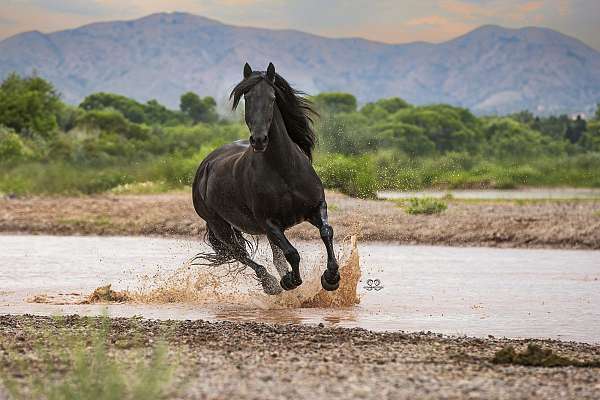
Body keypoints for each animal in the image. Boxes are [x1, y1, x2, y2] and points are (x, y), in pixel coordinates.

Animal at [195, 61, 340, 294]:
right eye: (247, 97)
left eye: (272, 97)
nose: (259, 140)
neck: (284, 171)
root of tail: (206, 164)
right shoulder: (270, 223)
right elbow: (292, 253)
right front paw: (290, 281)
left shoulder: (316, 207)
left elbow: (326, 232)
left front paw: (331, 278)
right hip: (220, 226)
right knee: (240, 254)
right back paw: (271, 284)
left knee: (268, 256)